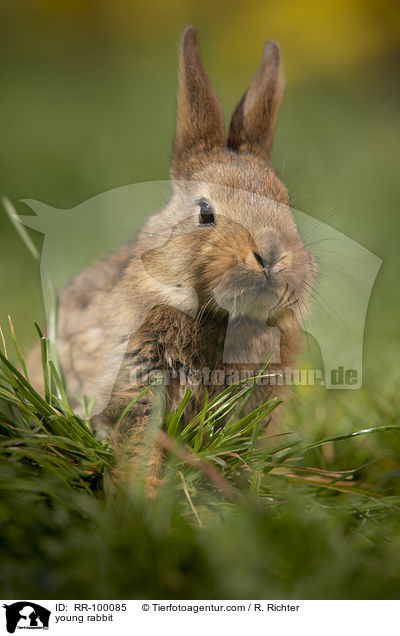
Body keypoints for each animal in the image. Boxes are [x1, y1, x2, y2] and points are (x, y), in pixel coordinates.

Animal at [28, 27, 318, 494]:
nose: (271, 257)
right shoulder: (138, 379)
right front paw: (140, 496)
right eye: (206, 213)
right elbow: (138, 440)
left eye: (286, 204)